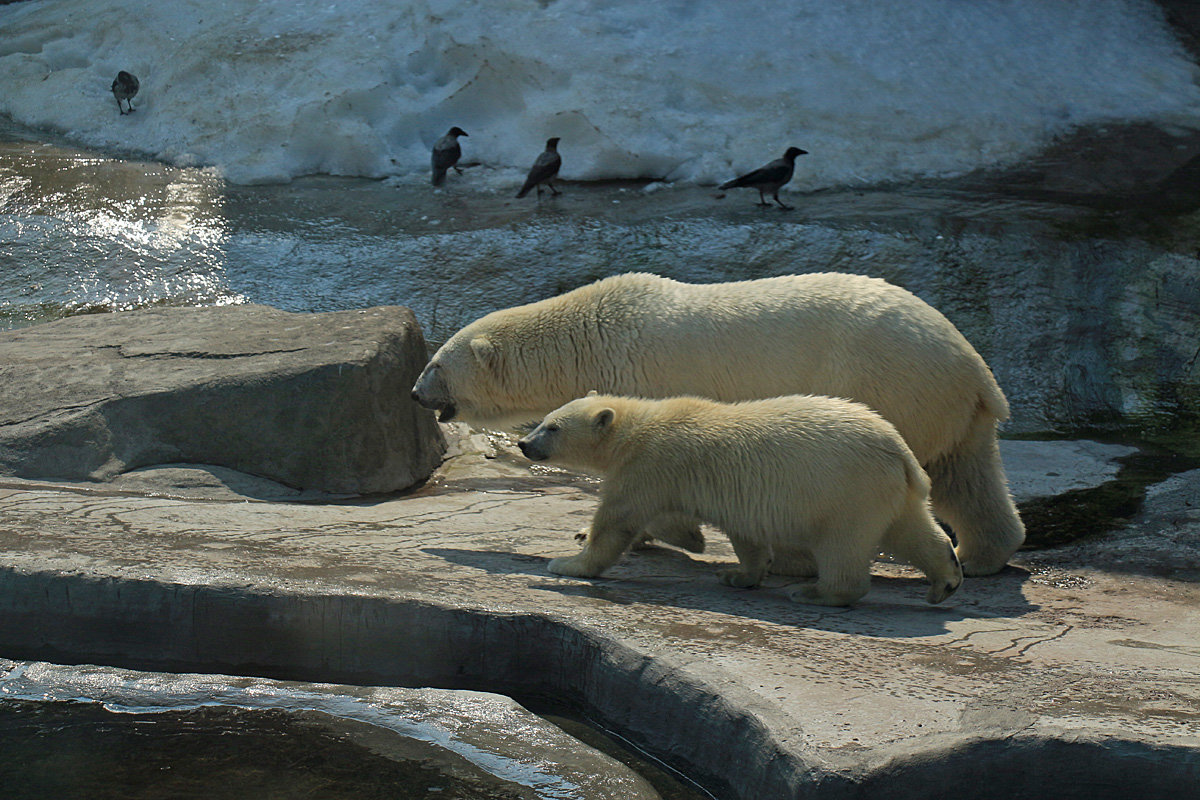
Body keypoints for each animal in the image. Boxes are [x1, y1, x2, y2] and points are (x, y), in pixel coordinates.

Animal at [412, 273, 1022, 575]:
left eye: (436, 362)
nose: (417, 393)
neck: (590, 334)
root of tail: (973, 365)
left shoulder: (644, 378)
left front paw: (661, 535)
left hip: (885, 379)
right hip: (946, 406)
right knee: (965, 475)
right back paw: (981, 555)